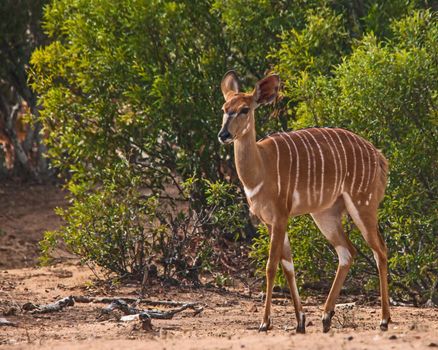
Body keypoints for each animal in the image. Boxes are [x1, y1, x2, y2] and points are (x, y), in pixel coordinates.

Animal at [218, 71, 390, 334]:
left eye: (245, 109)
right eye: (224, 108)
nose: (224, 135)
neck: (262, 167)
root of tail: (380, 157)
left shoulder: (280, 215)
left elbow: (271, 265)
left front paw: (264, 323)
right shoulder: (268, 221)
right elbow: (288, 265)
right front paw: (300, 322)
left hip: (363, 204)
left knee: (379, 250)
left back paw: (384, 320)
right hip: (325, 214)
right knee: (347, 251)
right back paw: (326, 317)